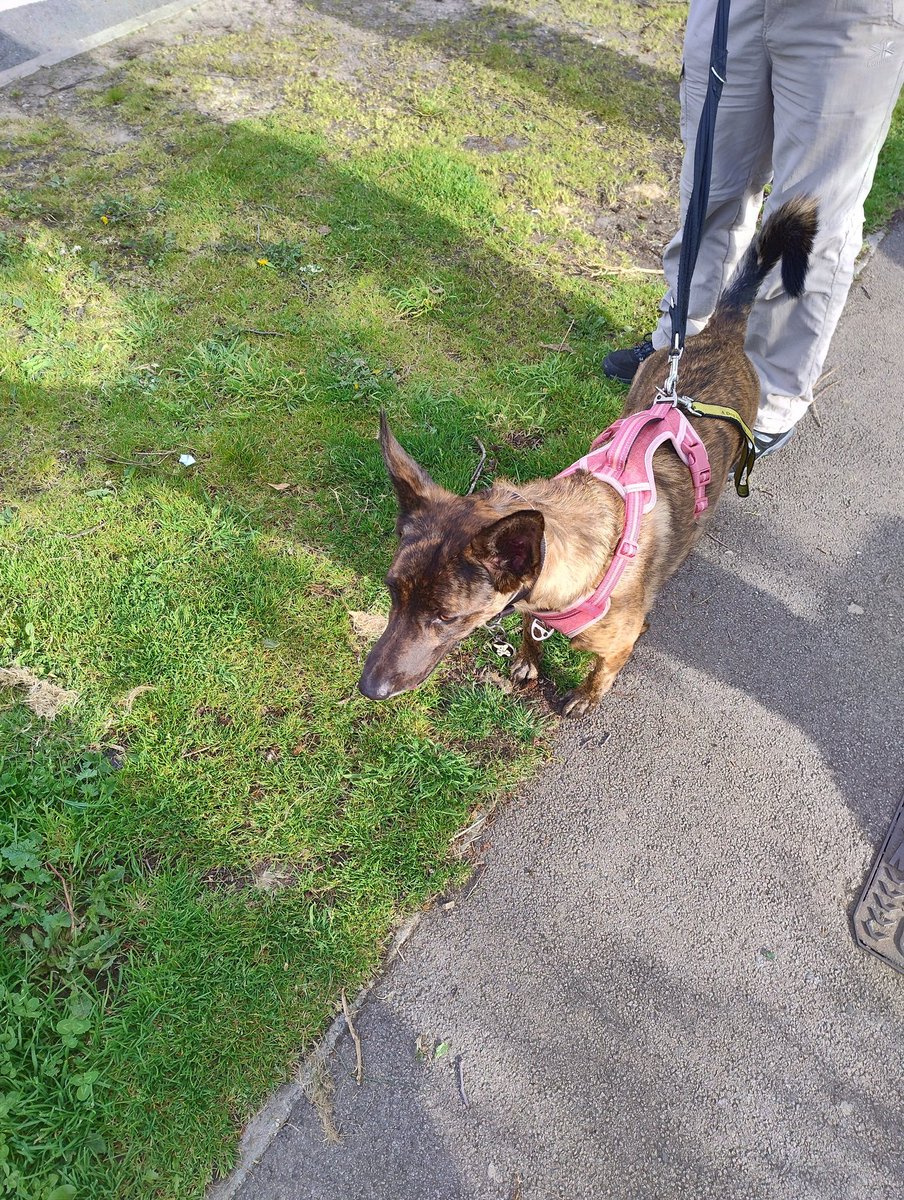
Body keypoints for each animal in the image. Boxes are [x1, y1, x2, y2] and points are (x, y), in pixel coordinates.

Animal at [357, 198, 816, 715]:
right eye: (392, 591)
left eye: (446, 616)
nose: (369, 688)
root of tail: (722, 330)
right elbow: (529, 633)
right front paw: (528, 660)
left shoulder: (618, 641)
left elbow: (604, 668)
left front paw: (586, 695)